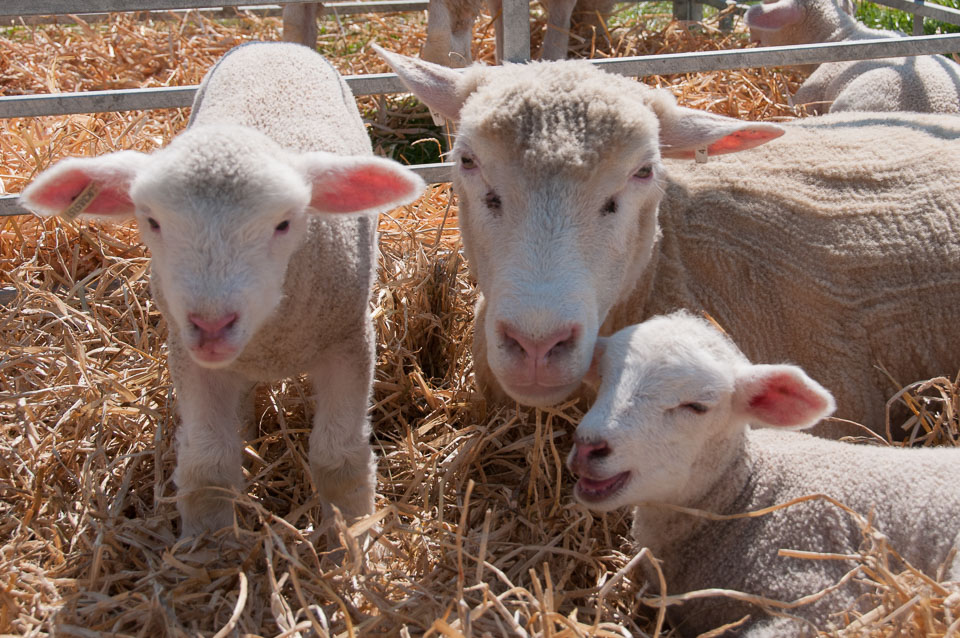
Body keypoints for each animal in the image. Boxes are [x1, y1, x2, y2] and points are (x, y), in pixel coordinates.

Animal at [17, 41, 424, 540]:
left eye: (284, 223)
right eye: (151, 221)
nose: (211, 323)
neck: (269, 339)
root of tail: (273, 43)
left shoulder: (349, 341)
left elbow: (338, 459)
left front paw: (352, 538)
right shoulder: (191, 357)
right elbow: (208, 464)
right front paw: (210, 548)